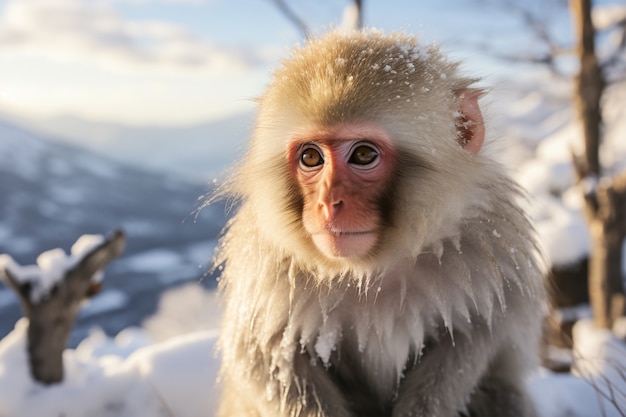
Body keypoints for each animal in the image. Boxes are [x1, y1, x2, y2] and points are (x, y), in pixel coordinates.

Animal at [212, 30, 544, 416]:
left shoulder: (489, 245)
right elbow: (265, 354)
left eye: (363, 155)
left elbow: (474, 337)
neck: (369, 269)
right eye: (311, 157)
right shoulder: (267, 267)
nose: (328, 203)